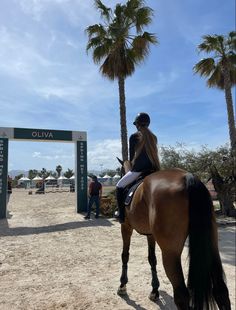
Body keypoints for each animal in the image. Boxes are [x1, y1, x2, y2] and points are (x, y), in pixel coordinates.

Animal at [117, 161, 231, 308]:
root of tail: (187, 177)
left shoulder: (126, 228)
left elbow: (125, 255)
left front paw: (122, 285)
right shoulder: (150, 235)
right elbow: (152, 259)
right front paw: (154, 291)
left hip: (170, 253)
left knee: (182, 295)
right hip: (212, 246)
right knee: (221, 291)